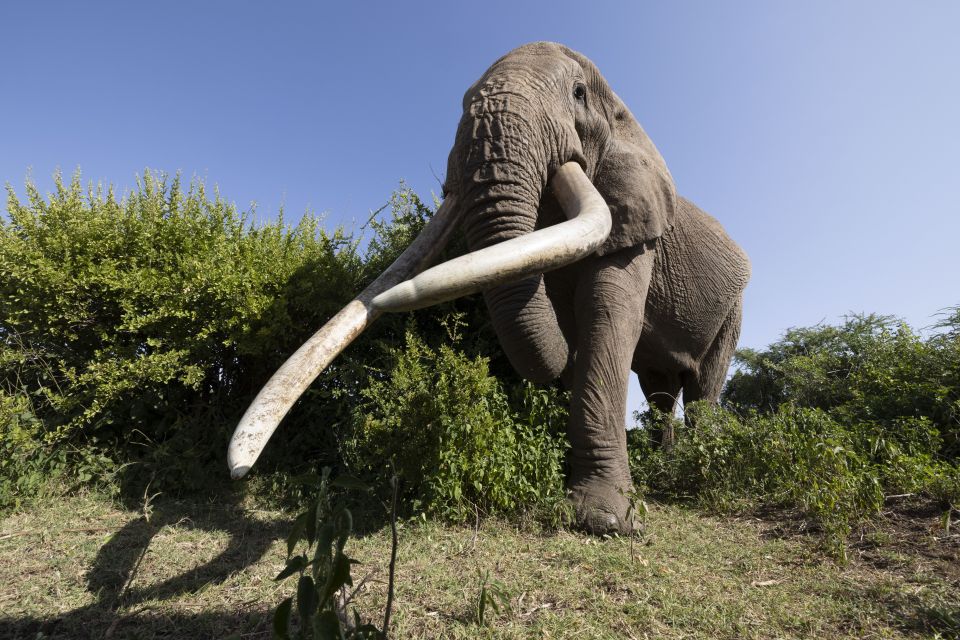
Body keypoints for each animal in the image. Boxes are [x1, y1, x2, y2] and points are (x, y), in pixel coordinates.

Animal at [227, 42, 752, 536]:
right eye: (461, 101)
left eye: (578, 93)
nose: (239, 471)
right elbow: (564, 322)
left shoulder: (636, 222)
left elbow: (606, 317)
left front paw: (606, 522)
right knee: (660, 390)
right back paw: (665, 465)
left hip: (734, 308)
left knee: (702, 388)